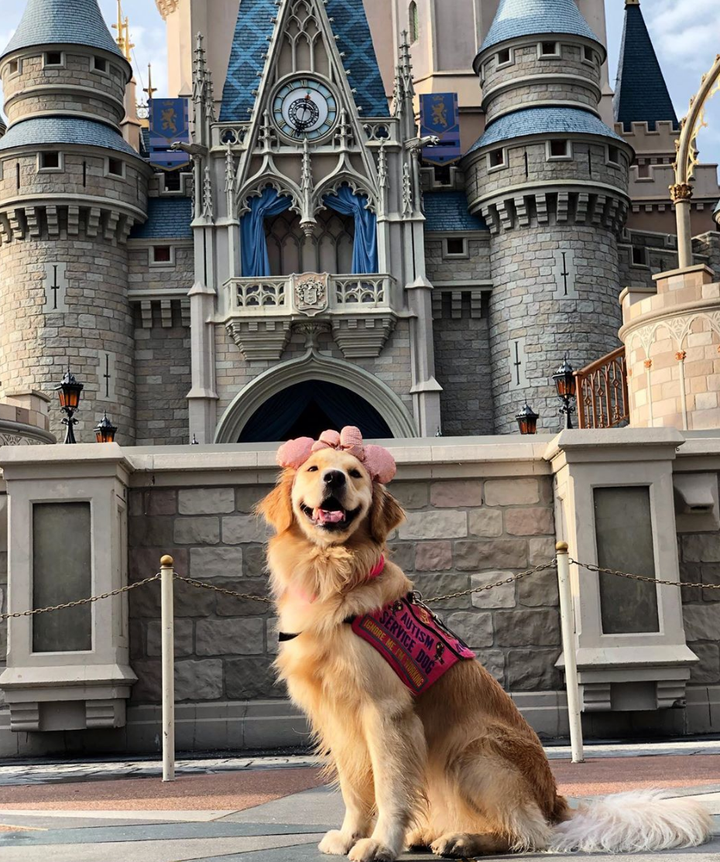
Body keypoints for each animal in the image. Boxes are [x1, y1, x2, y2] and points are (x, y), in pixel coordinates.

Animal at [258, 428, 708, 860]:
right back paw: (430, 834)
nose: (334, 478)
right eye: (314, 468)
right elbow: (354, 789)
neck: (332, 574)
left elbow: (389, 788)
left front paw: (381, 844)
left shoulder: (385, 712)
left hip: (472, 751)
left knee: (528, 832)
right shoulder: (338, 717)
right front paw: (351, 836)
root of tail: (556, 802)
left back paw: (464, 841)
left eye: (354, 473)